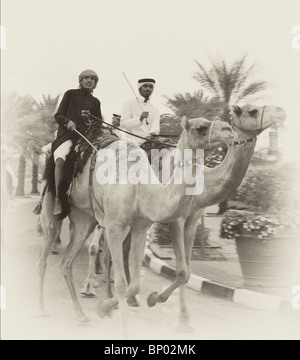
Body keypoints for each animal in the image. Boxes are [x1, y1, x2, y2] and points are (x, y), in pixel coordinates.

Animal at [37, 118, 234, 330]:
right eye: (200, 128)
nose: (229, 130)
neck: (140, 185)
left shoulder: (145, 226)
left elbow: (139, 283)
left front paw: (111, 307)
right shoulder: (117, 224)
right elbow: (122, 280)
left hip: (84, 219)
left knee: (68, 263)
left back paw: (82, 313)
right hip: (51, 204)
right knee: (45, 252)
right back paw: (43, 307)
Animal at [146, 103, 288, 330]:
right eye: (252, 111)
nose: (281, 111)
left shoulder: (192, 221)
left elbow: (186, 271)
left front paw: (184, 321)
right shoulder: (176, 220)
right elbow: (182, 271)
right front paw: (153, 299)